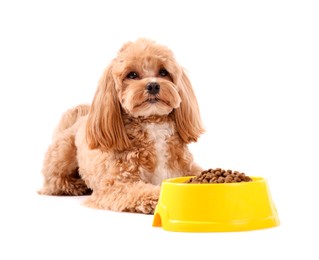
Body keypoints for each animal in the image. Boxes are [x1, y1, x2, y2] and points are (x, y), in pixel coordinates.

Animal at [39, 38, 205, 213]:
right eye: (132, 75)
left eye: (163, 72)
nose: (153, 85)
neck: (152, 123)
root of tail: (80, 120)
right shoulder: (115, 184)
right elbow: (141, 191)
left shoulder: (188, 168)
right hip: (63, 152)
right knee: (54, 182)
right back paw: (76, 185)